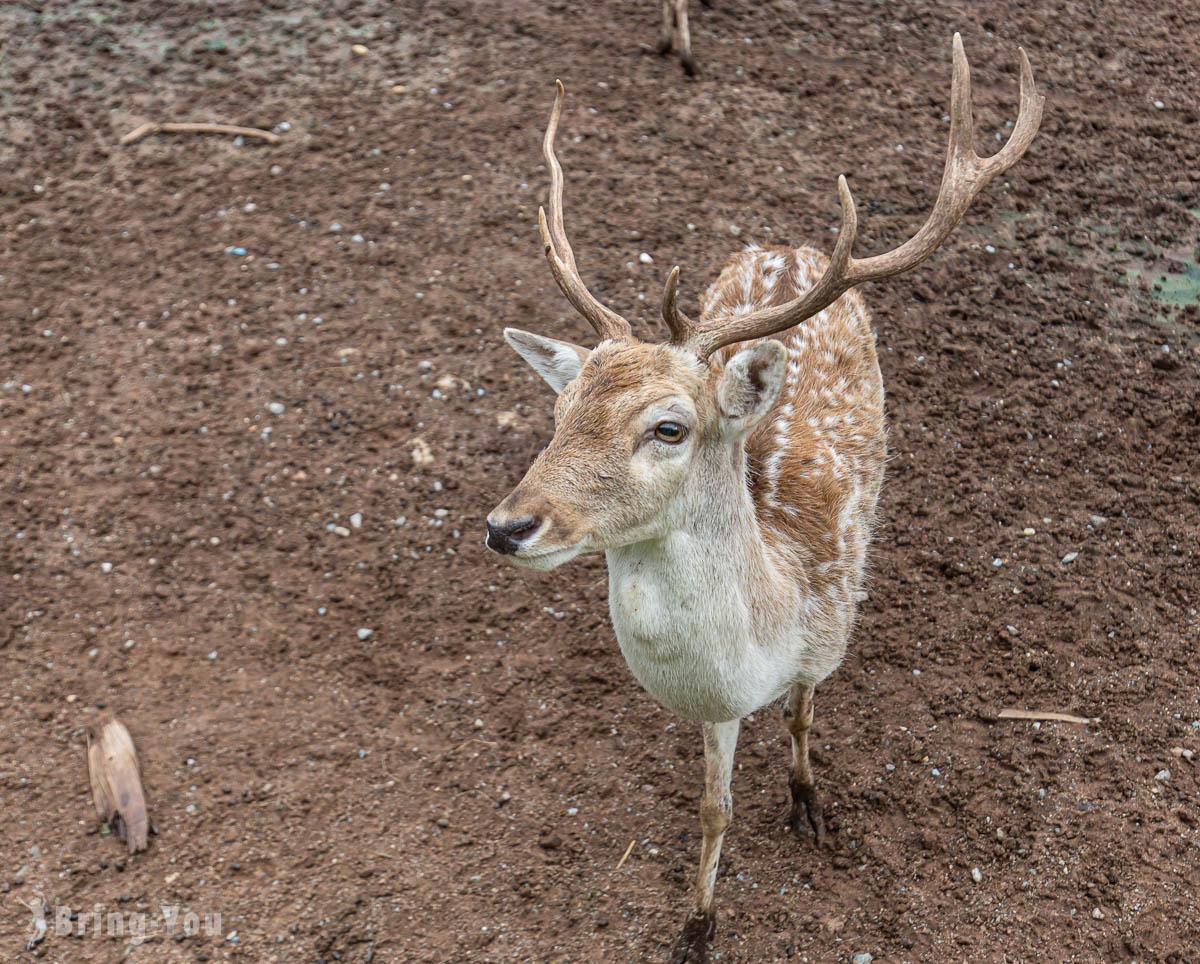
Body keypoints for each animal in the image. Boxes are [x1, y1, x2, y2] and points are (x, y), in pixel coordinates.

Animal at [484, 35, 1041, 964]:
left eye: (668, 428)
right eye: (559, 414)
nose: (507, 524)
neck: (764, 637)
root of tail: (788, 246)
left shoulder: (828, 633)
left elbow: (806, 721)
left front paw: (810, 806)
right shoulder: (715, 709)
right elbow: (713, 808)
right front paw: (696, 926)